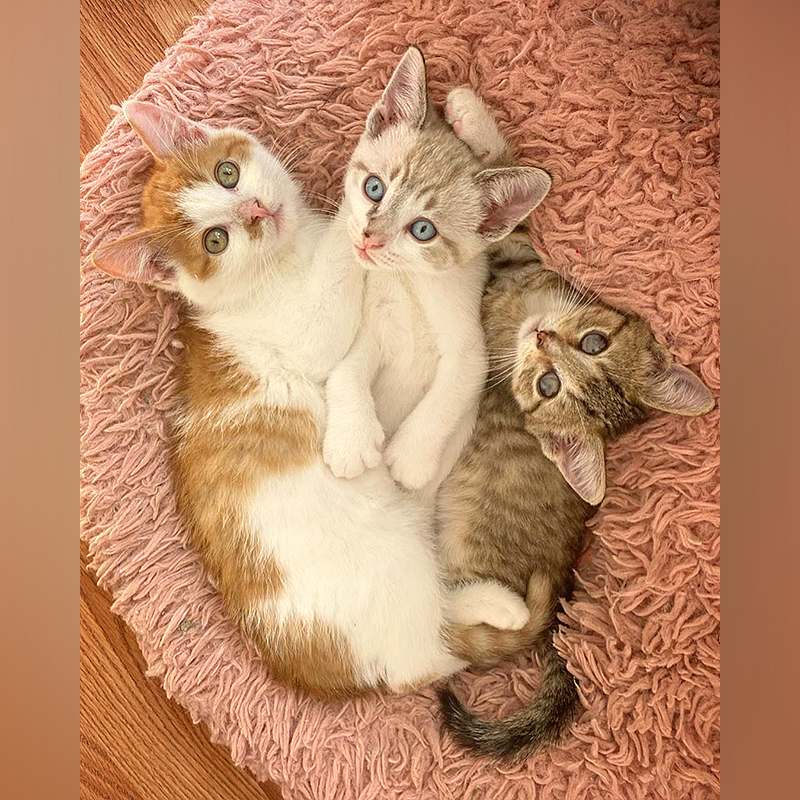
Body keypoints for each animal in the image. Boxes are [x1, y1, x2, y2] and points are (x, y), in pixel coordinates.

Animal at [90, 100, 532, 700]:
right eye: (215, 241)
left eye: (227, 173)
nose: (255, 210)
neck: (288, 255)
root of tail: (356, 676)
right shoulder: (307, 333)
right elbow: (335, 308)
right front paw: (362, 210)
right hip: (397, 564)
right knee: (436, 650)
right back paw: (492, 607)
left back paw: (498, 606)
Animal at [318, 50, 552, 528]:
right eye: (374, 188)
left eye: (422, 230)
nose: (369, 239)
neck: (413, 284)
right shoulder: (373, 331)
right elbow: (346, 371)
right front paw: (352, 441)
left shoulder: (473, 347)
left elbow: (449, 394)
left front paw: (409, 458)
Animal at [434, 89, 716, 764]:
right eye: (593, 342)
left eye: (548, 387)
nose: (542, 339)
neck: (520, 308)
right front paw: (474, 118)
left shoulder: (501, 272)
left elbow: (502, 214)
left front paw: (466, 113)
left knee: (451, 630)